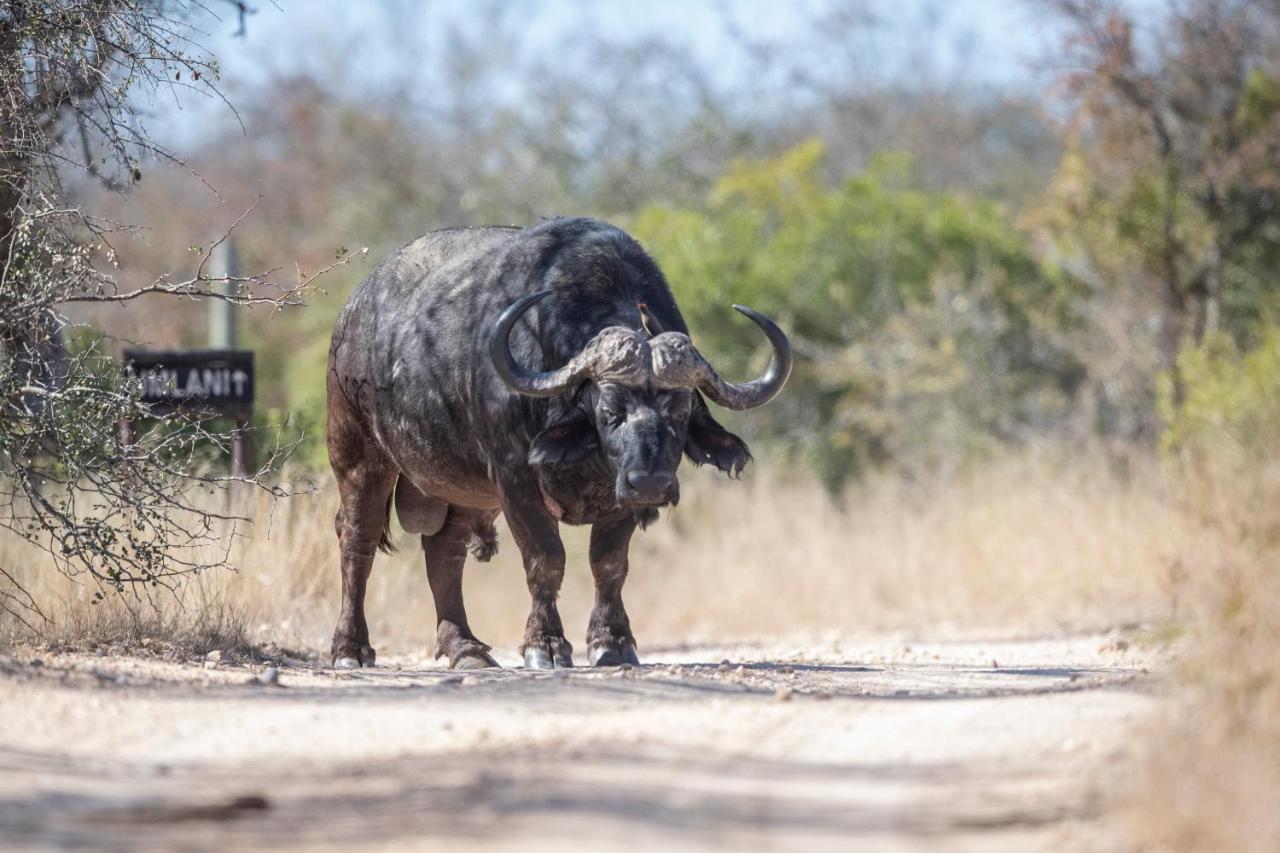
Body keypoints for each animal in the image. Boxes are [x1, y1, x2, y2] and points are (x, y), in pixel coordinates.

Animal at [327, 216, 788, 666]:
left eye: (679, 412)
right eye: (609, 411)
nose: (650, 483)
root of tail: (349, 316)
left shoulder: (620, 496)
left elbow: (609, 563)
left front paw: (612, 641)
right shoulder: (515, 479)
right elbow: (545, 559)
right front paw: (544, 644)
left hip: (463, 487)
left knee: (444, 550)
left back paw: (465, 648)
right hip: (358, 456)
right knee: (357, 540)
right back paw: (350, 648)